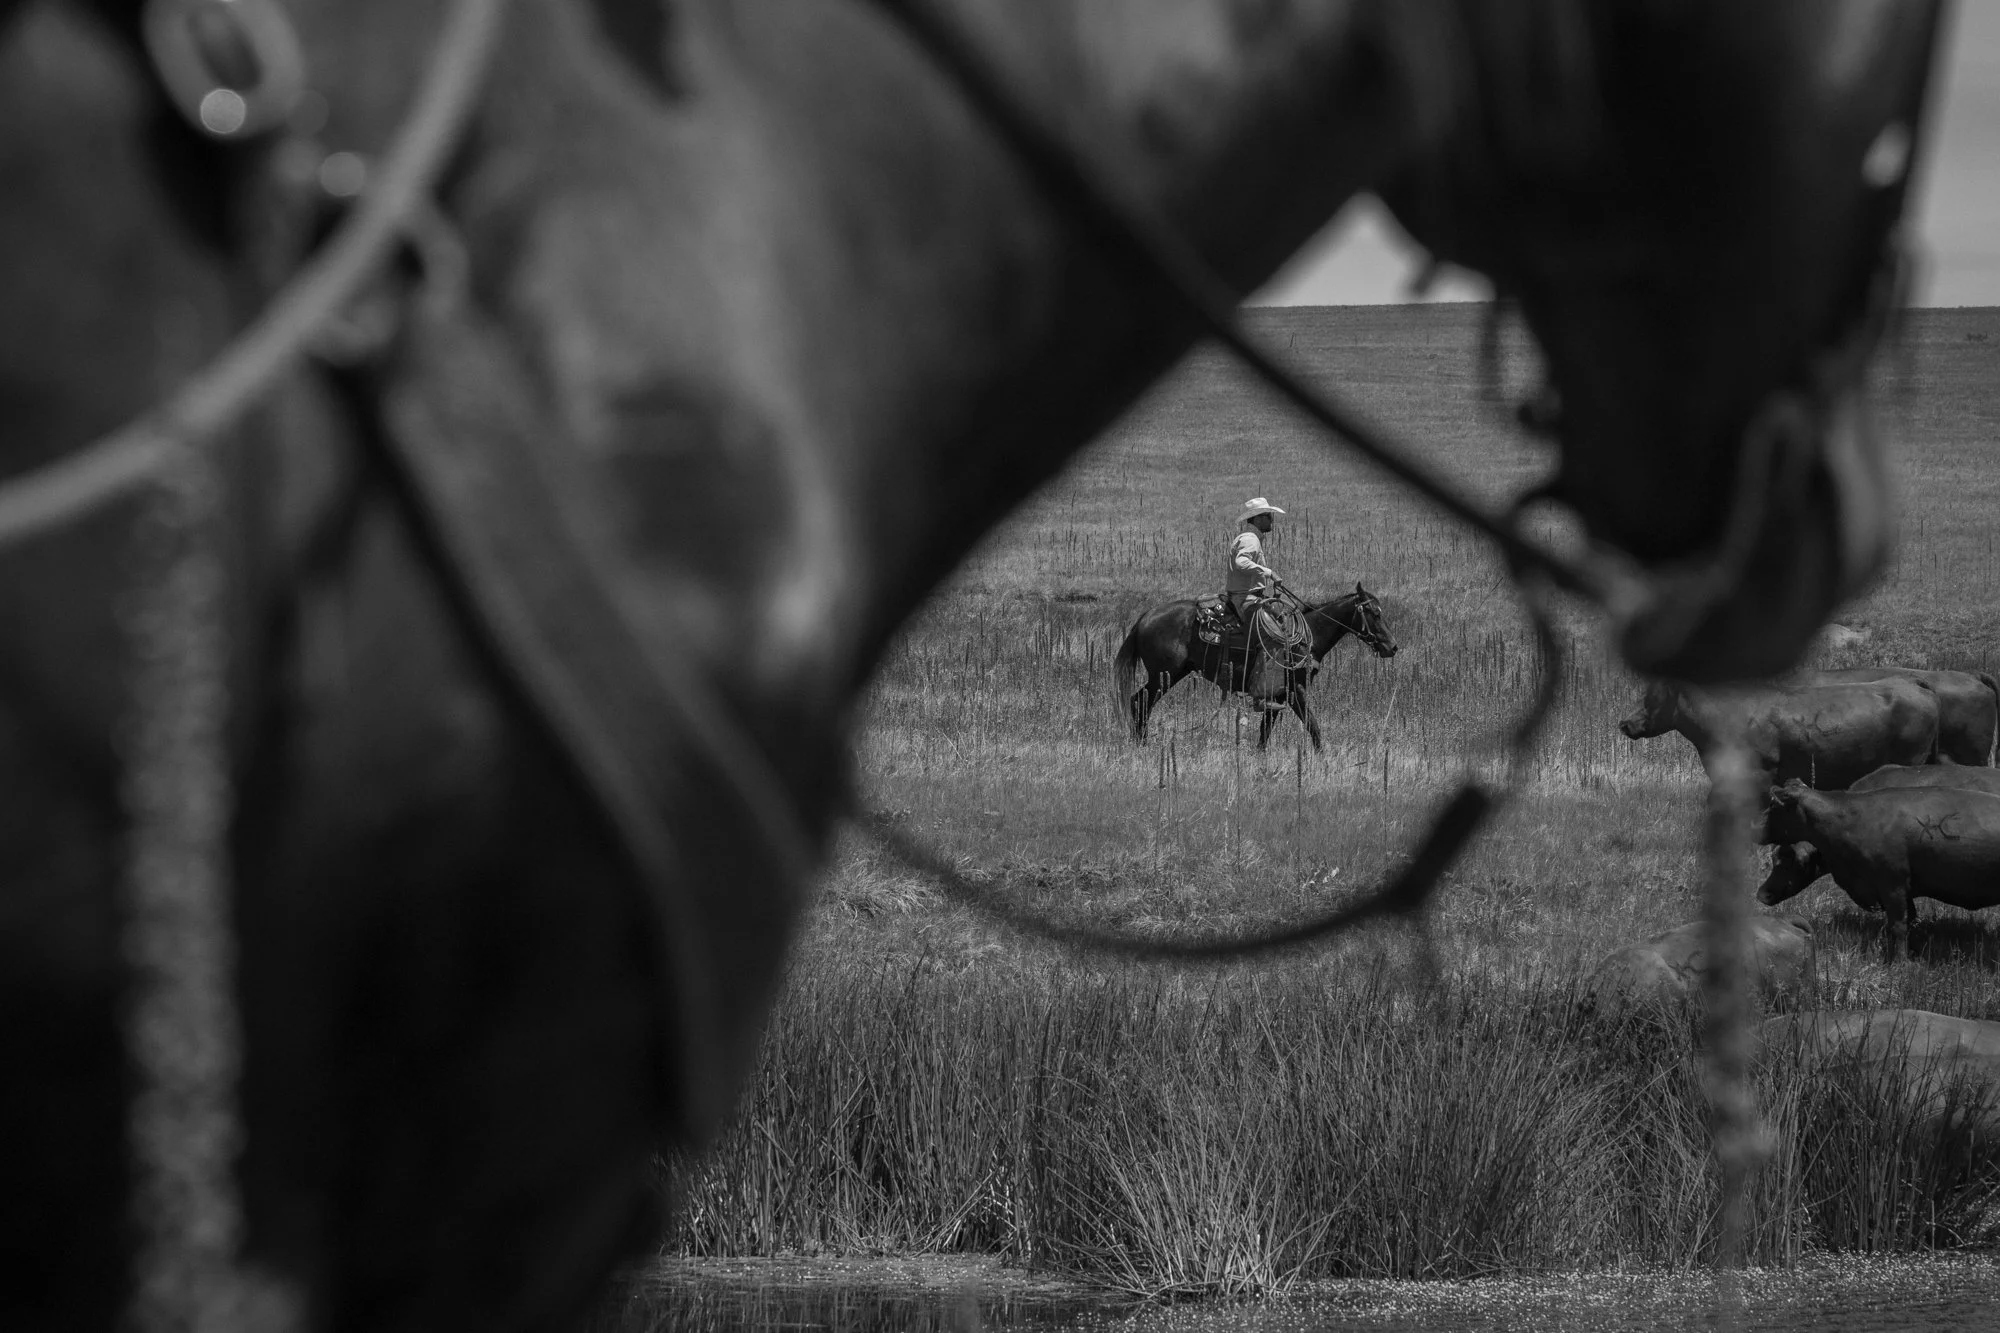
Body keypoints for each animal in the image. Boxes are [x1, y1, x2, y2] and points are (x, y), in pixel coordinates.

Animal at [1115, 585, 1396, 751]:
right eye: (1375, 613)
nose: (1392, 647)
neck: (1308, 637)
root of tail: (1145, 617)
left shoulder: (1279, 695)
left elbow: (1266, 729)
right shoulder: (1295, 689)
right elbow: (1312, 725)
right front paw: (1322, 759)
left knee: (1140, 701)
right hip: (1165, 675)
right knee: (1140, 701)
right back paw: (1141, 744)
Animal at [1762, 780, 2000, 962]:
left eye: (1786, 862)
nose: (1761, 894)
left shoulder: (1892, 885)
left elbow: (1898, 926)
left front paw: (1900, 963)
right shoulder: (1901, 892)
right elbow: (1910, 921)